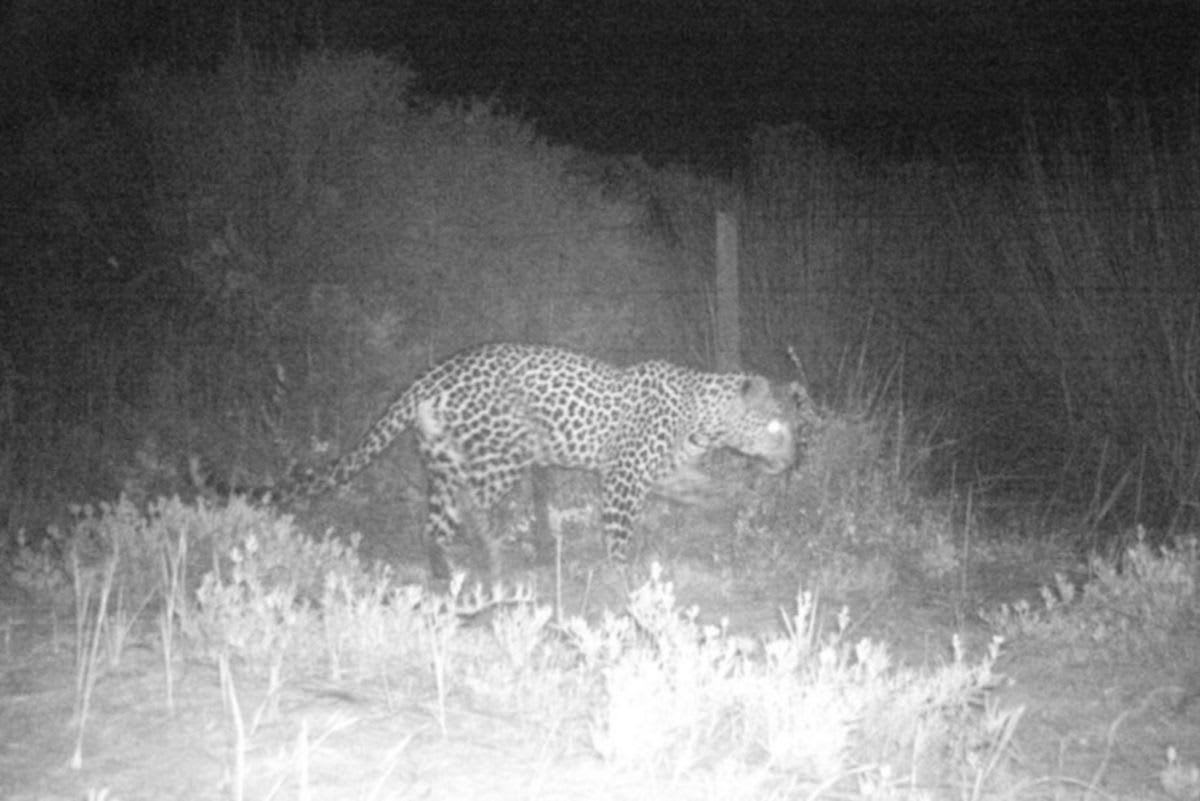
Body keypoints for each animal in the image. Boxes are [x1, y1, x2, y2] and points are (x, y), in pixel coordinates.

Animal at [216, 343, 807, 578]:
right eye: (776, 426)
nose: (796, 461)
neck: (703, 418)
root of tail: (432, 376)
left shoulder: (664, 470)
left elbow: (700, 488)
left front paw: (733, 504)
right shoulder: (622, 476)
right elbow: (619, 531)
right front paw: (624, 572)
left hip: (443, 459)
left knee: (436, 520)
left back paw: (448, 569)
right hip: (500, 458)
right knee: (471, 507)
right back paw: (496, 554)